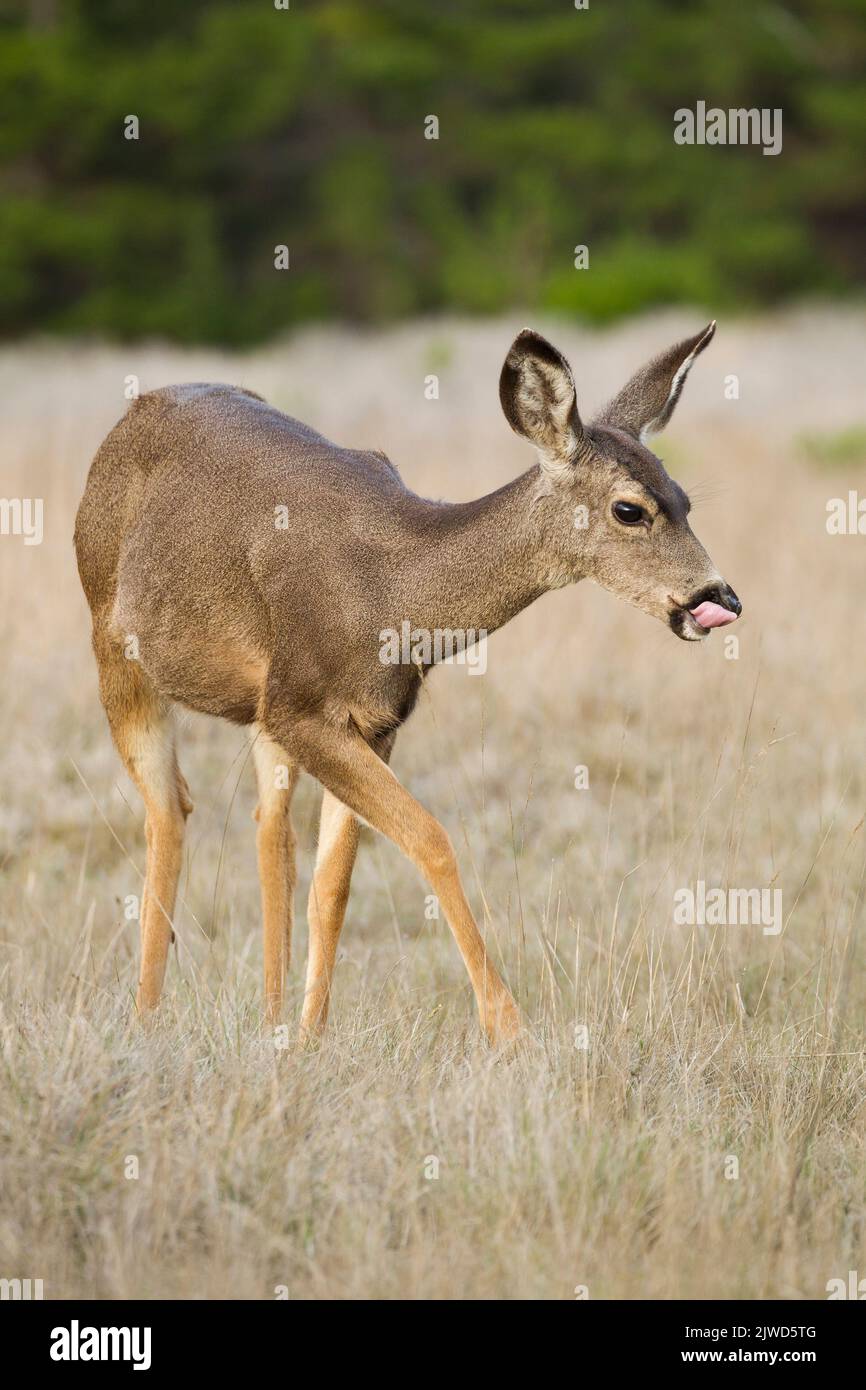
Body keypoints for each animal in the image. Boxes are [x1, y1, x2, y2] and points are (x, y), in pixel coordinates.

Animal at [74, 322, 739, 1045]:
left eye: (686, 500)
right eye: (629, 509)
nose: (718, 597)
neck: (394, 588)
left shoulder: (369, 719)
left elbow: (333, 884)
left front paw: (309, 1041)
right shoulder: (303, 710)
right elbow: (431, 839)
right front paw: (508, 1028)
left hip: (259, 710)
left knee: (267, 830)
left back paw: (269, 1017)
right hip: (115, 648)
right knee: (169, 810)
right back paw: (145, 1018)